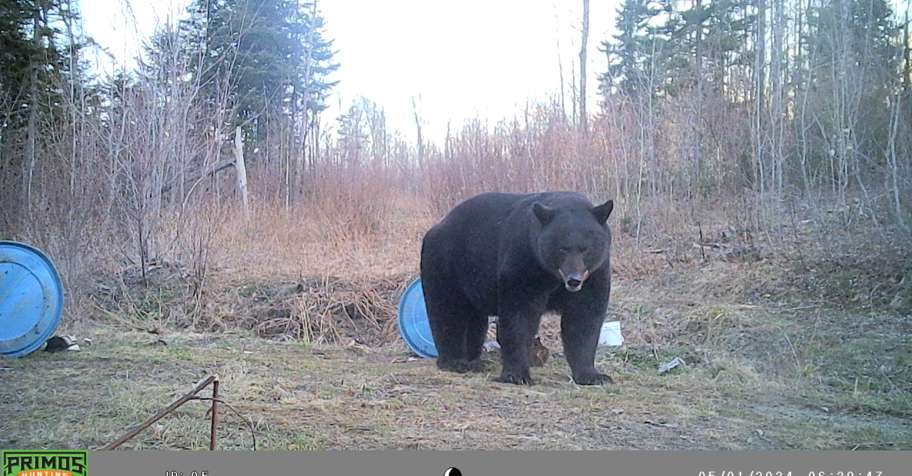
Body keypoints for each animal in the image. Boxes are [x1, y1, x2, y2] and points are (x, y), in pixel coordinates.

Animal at [419, 191, 614, 385]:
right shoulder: (524, 260)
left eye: (586, 249)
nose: (574, 280)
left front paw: (593, 375)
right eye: (562, 249)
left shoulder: (595, 274)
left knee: (474, 321)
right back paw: (455, 361)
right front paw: (517, 375)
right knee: (447, 312)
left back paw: (474, 360)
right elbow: (520, 315)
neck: (552, 275)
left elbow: (584, 318)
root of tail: (439, 225)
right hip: (445, 263)